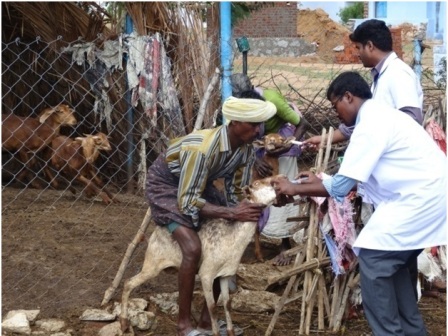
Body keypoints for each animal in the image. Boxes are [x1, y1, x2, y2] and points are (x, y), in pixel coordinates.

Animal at [119, 176, 280, 336]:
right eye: (257, 184)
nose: (278, 183)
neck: (233, 239)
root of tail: (153, 234)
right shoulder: (206, 273)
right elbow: (212, 307)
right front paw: (215, 332)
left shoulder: (225, 274)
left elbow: (227, 304)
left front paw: (230, 331)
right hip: (152, 263)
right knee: (128, 283)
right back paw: (124, 323)